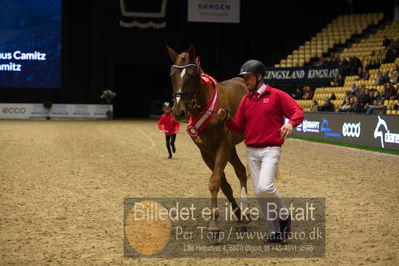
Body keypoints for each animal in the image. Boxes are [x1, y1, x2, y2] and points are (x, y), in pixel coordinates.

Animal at [168, 44, 250, 232]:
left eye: (192, 75)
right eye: (172, 75)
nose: (178, 112)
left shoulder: (223, 146)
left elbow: (214, 182)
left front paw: (213, 225)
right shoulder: (206, 151)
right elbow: (223, 184)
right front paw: (232, 217)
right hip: (231, 149)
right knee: (241, 171)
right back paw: (242, 215)